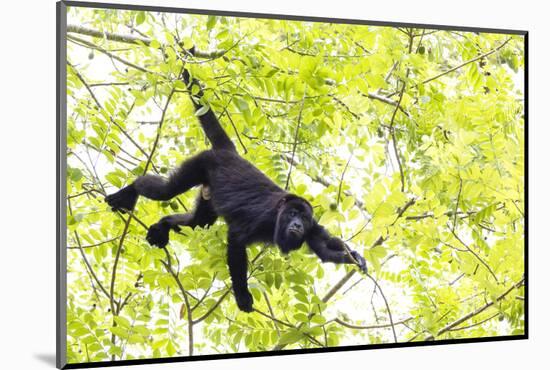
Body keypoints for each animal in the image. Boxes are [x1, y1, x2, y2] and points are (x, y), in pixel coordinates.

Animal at [106, 66, 368, 312]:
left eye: (303, 218)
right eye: (293, 214)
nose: (296, 225)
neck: (279, 220)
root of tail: (228, 152)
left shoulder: (313, 228)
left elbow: (325, 249)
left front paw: (355, 257)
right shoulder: (263, 218)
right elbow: (236, 240)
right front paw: (242, 295)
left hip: (207, 192)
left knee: (198, 223)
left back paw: (162, 226)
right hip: (200, 163)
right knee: (166, 191)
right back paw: (128, 194)